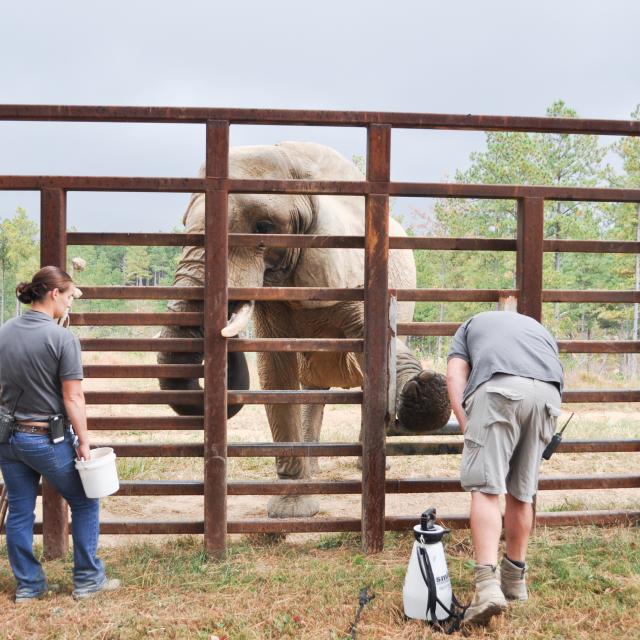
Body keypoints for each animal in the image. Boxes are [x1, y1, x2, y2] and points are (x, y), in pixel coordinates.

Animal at [158, 141, 451, 518]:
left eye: (263, 227)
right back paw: (314, 469)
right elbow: (275, 372)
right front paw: (293, 511)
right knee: (313, 388)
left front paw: (425, 390)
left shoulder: (352, 267)